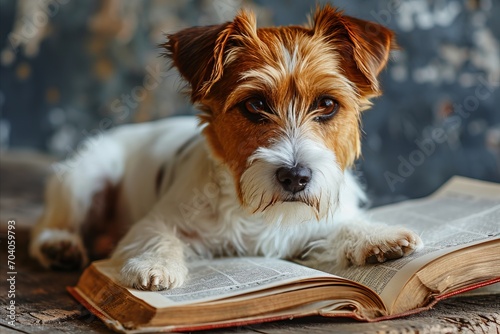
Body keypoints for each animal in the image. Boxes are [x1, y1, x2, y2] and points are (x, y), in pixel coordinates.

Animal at [30, 5, 422, 292]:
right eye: (255, 104)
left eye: (326, 104)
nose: (295, 176)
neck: (257, 210)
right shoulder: (154, 222)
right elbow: (156, 238)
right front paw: (155, 265)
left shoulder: (316, 225)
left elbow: (341, 227)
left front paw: (376, 237)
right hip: (86, 176)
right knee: (49, 225)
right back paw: (59, 245)